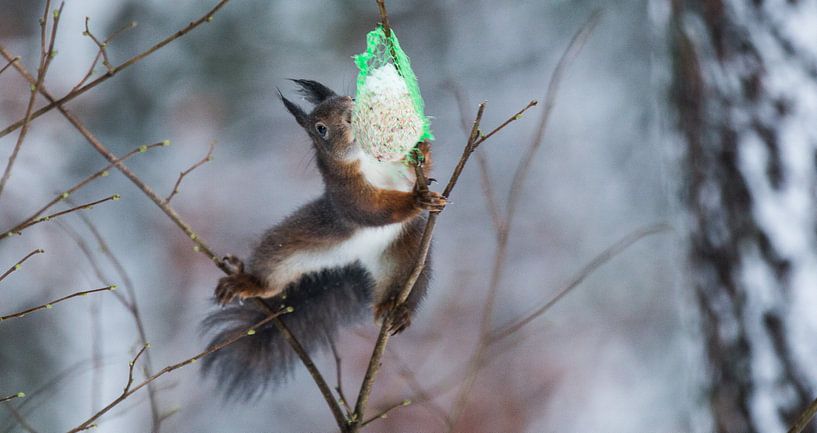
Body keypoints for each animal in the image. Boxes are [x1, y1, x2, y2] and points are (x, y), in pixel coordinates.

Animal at [201, 79, 445, 398]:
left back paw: (397, 310)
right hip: (287, 246)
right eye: (321, 129)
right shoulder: (347, 192)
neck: (366, 159)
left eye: (351, 97)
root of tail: (357, 259)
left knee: (409, 286)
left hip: (409, 253)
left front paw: (421, 149)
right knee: (270, 275)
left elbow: (420, 171)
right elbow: (371, 209)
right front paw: (416, 200)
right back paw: (250, 282)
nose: (352, 115)